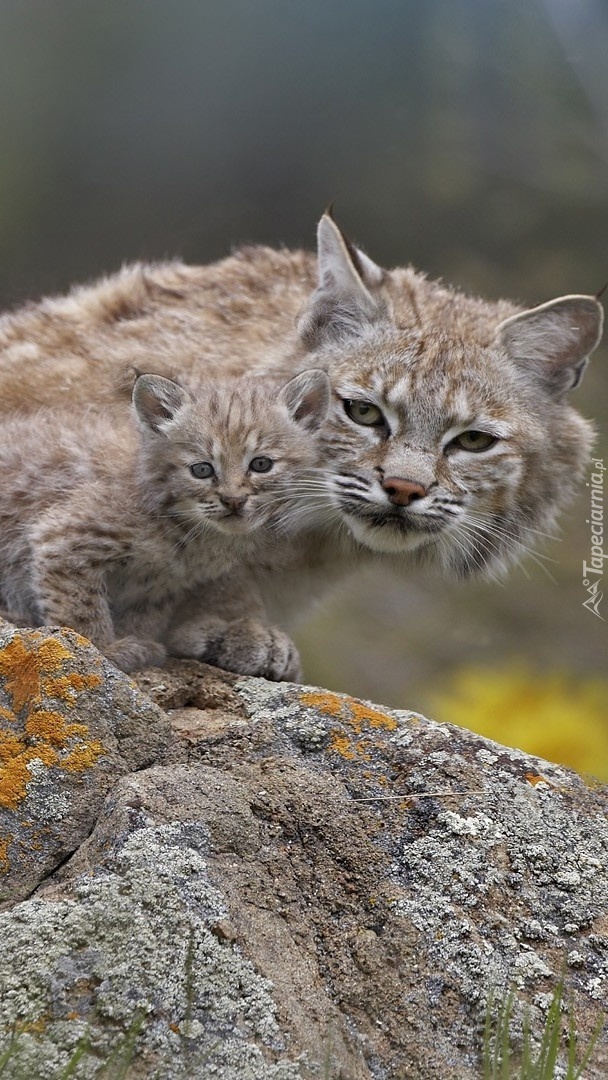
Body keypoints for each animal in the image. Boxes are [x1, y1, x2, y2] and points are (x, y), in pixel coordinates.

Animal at [0, 371, 328, 673]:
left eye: (261, 464)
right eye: (201, 470)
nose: (233, 501)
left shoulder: (158, 585)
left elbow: (143, 618)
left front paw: (134, 644)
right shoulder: (62, 538)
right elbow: (80, 609)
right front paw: (103, 652)